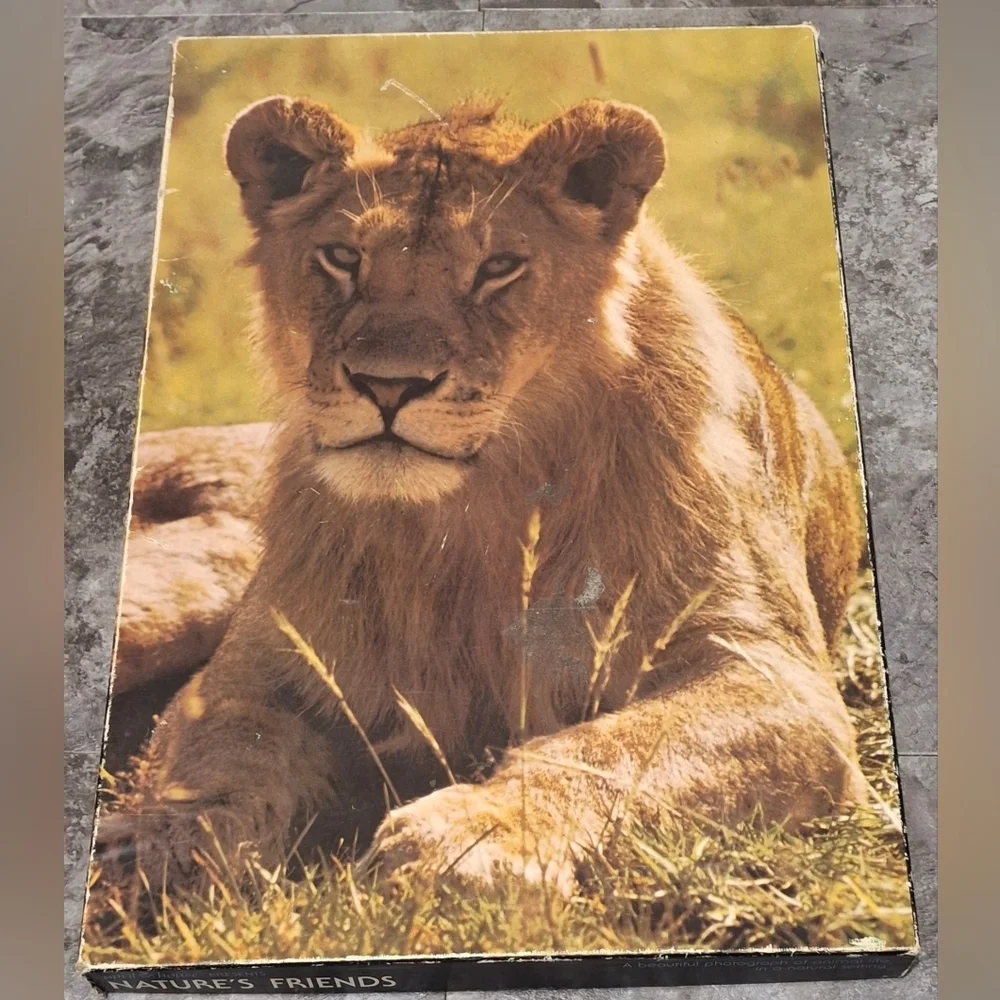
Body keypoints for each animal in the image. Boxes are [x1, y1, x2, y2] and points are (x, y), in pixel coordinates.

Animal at [94, 96, 867, 905]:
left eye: (497, 269)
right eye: (343, 258)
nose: (389, 385)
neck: (470, 515)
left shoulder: (769, 676)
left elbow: (608, 748)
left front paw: (468, 836)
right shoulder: (262, 663)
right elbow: (223, 753)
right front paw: (160, 842)